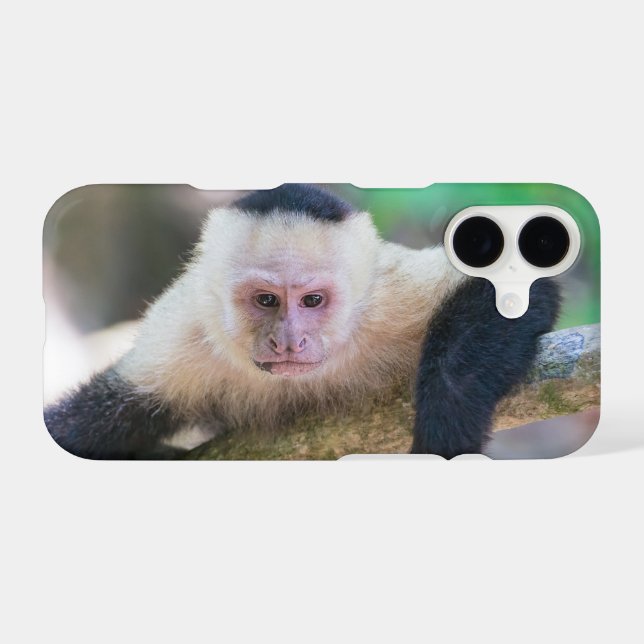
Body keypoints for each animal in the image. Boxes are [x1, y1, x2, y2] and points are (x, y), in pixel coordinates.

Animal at [44, 184, 560, 459]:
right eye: (266, 300)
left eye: (312, 300)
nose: (289, 342)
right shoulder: (184, 334)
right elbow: (88, 421)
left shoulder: (383, 295)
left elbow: (509, 288)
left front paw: (448, 422)